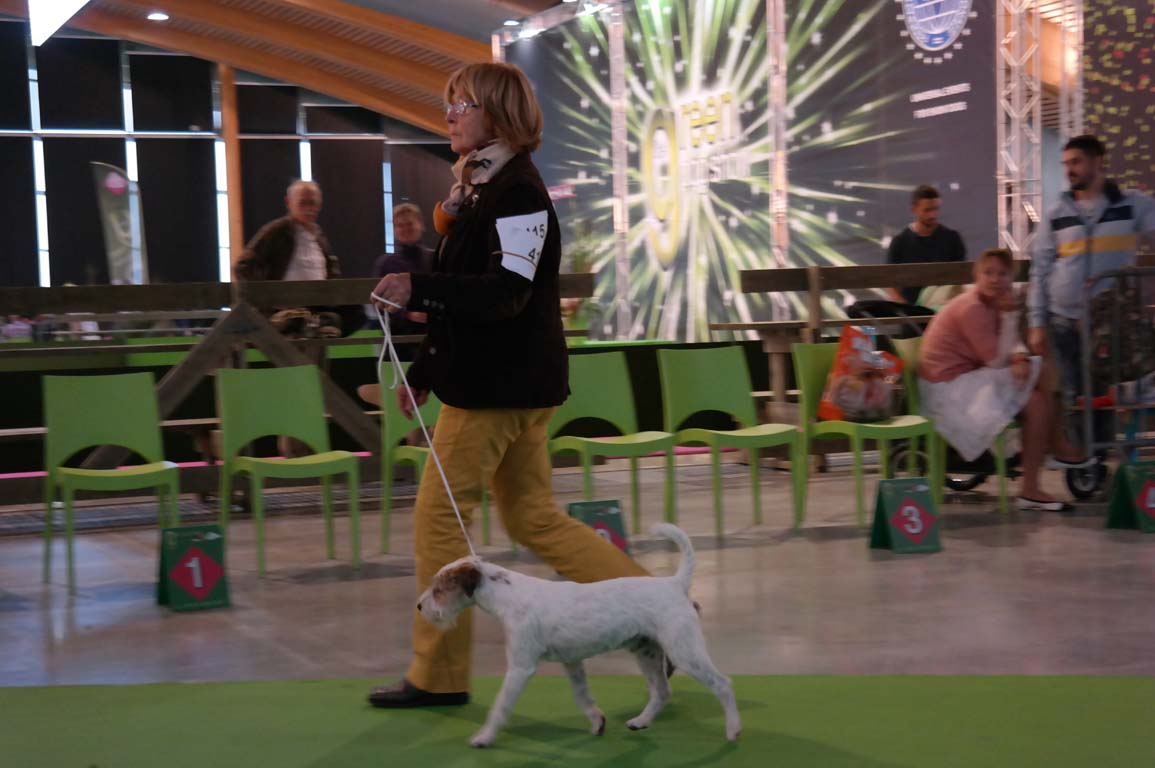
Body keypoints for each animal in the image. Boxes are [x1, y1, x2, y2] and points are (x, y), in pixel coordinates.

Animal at [417, 523, 741, 748]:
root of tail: (674, 583)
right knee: (662, 692)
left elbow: (500, 707)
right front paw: (597, 722)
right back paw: (640, 722)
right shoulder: (572, 662)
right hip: (646, 653)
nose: (420, 606)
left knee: (722, 684)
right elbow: (582, 695)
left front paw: (484, 737)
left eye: (439, 589)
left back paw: (733, 729)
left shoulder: (521, 668)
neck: (508, 596)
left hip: (685, 651)